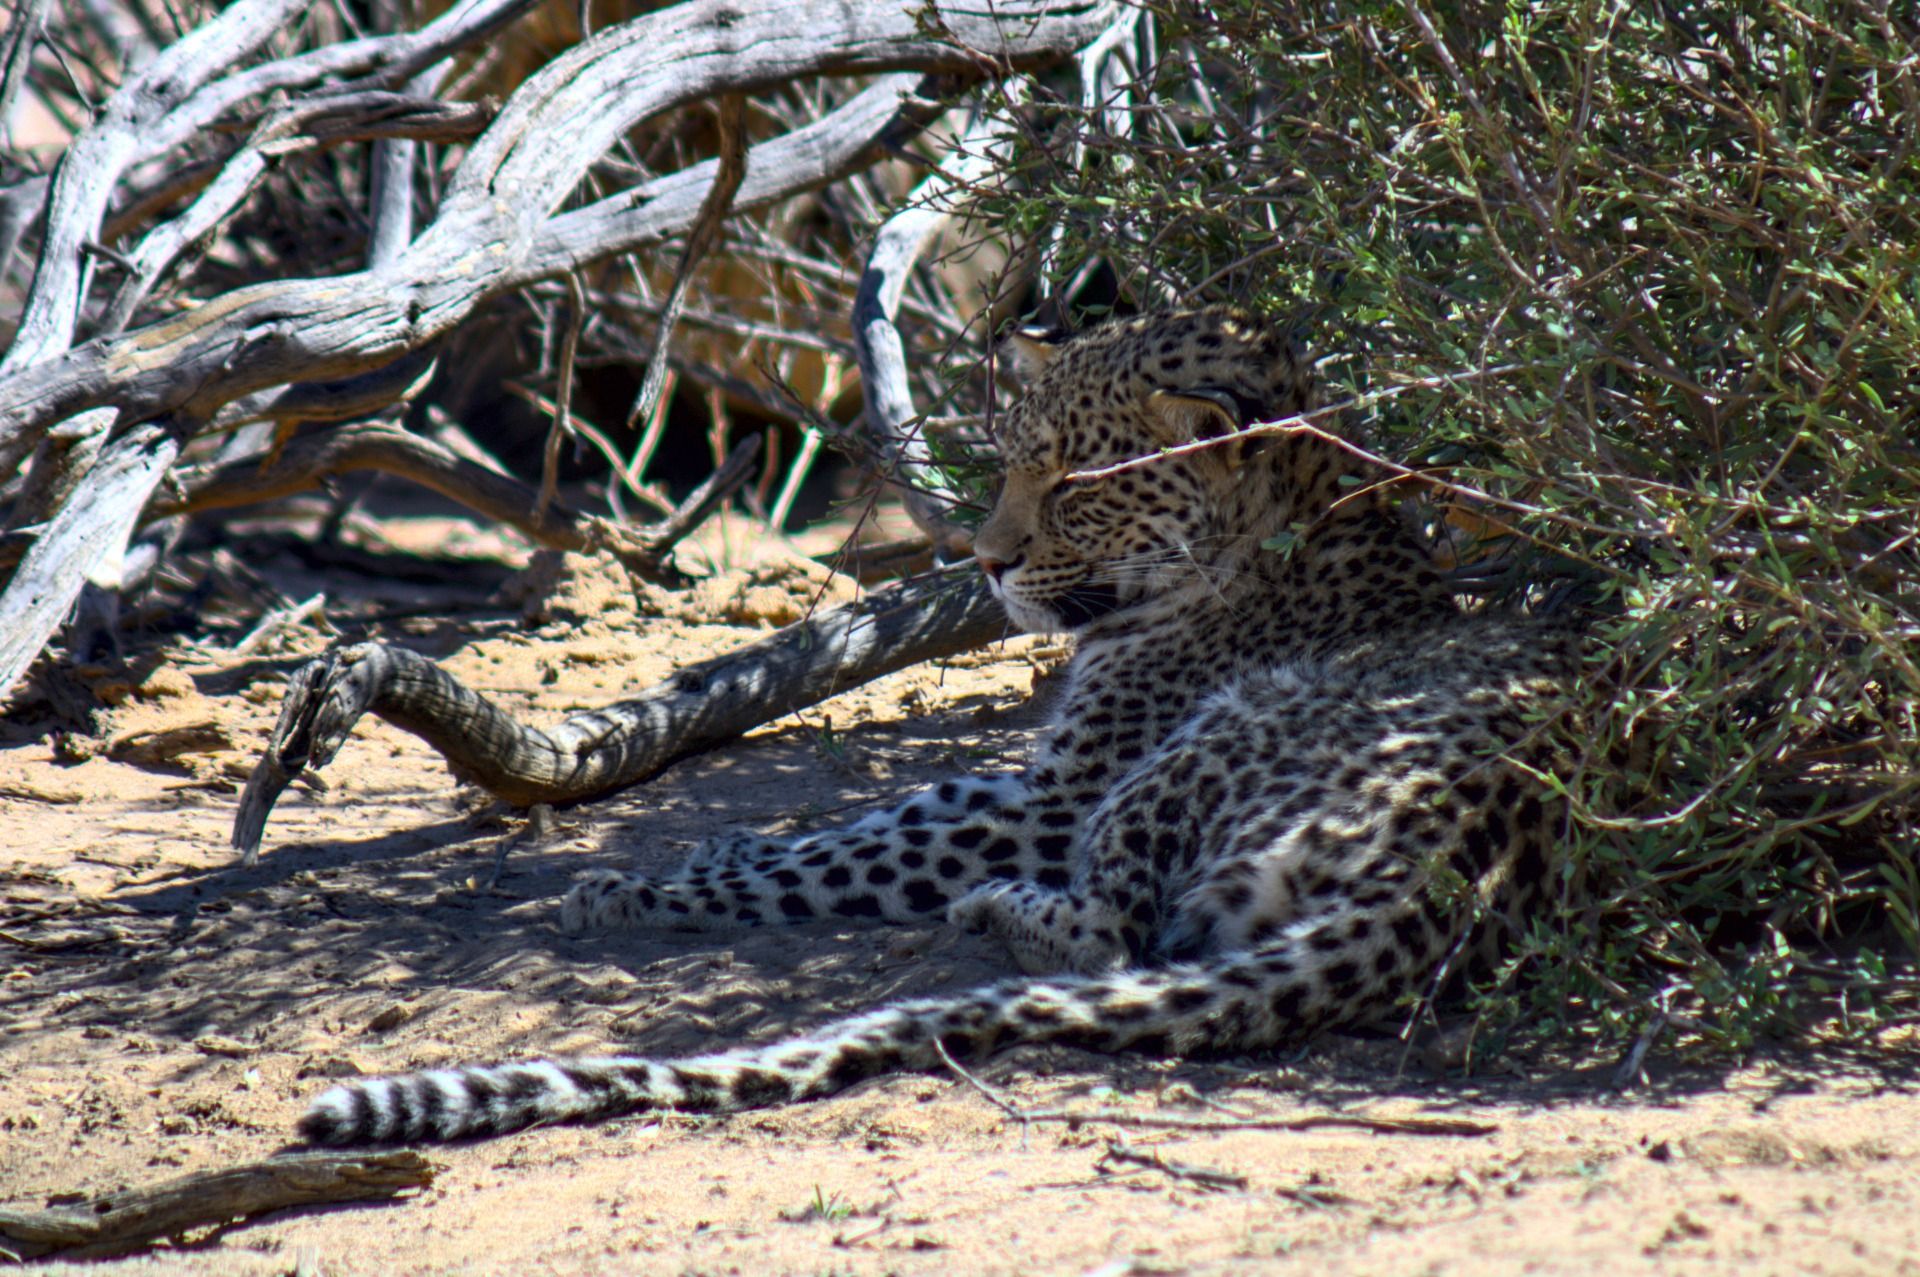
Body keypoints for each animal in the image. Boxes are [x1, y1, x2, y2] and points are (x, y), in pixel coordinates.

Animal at [299, 306, 1574, 1145]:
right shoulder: (1038, 779)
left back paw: (996, 909)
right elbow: (873, 816)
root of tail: (1452, 878)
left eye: (1076, 485)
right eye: (1014, 463)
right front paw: (715, 847)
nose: (986, 558)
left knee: (1116, 933)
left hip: (1208, 751)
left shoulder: (1064, 803)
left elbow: (848, 856)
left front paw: (634, 890)